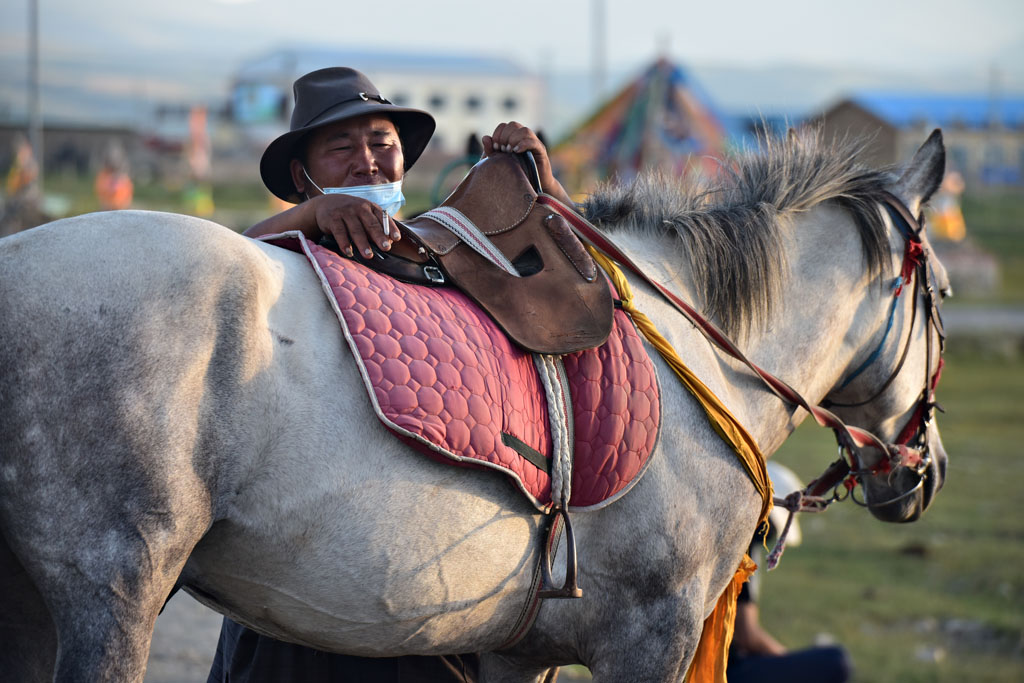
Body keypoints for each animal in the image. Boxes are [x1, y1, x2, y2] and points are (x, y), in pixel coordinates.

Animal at [0, 126, 946, 679]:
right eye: (937, 290)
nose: (925, 469)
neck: (701, 351)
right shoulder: (653, 635)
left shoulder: (514, 650)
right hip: (110, 594)